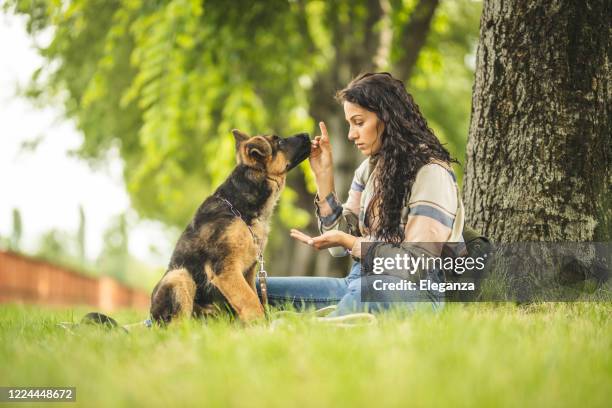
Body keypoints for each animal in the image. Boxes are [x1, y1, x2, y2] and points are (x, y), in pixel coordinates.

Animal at [149, 129, 310, 324]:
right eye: (279, 142)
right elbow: (251, 302)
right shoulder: (226, 269)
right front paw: (262, 326)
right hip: (178, 276)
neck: (239, 209)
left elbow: (254, 298)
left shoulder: (249, 271)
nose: (308, 134)